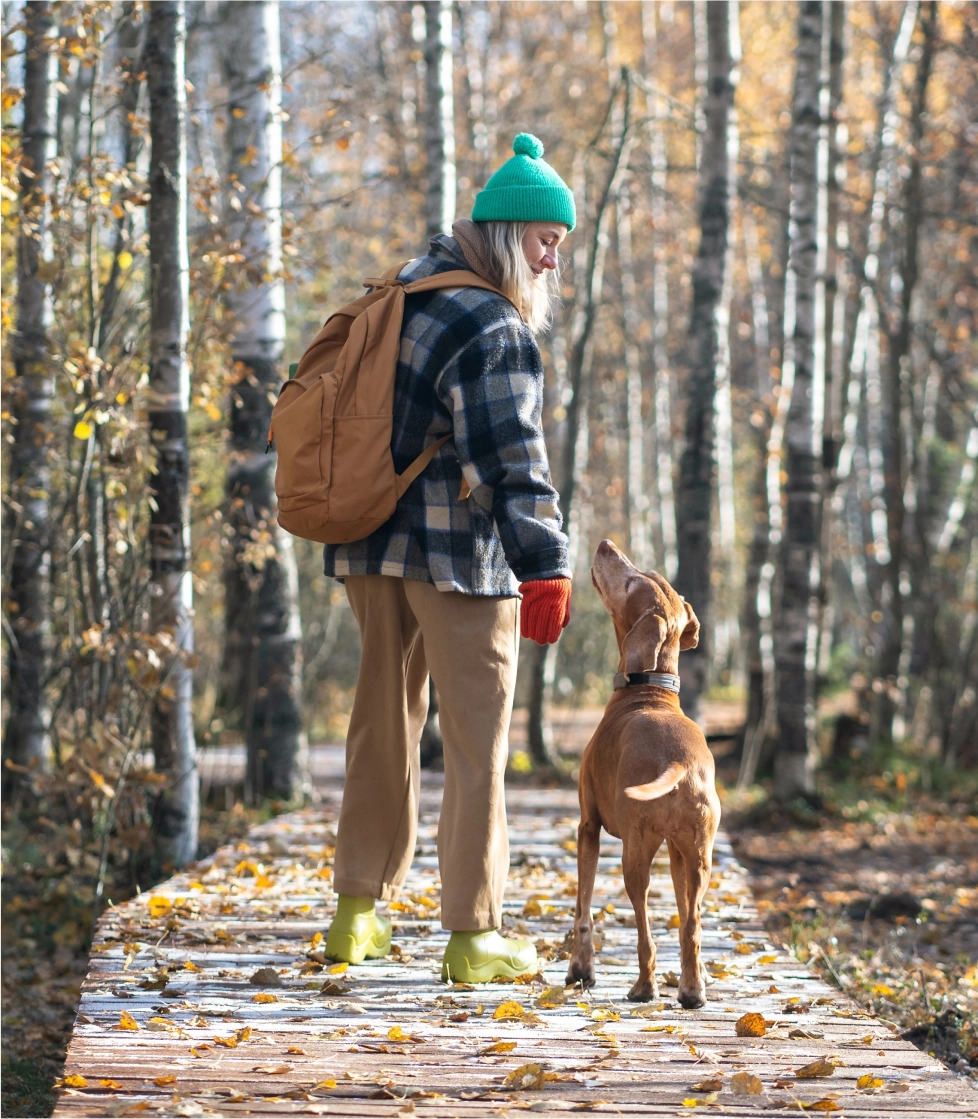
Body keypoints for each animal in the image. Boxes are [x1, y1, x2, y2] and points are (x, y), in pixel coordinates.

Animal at [568, 537, 720, 1011]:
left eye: (633, 582)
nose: (605, 544)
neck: (650, 689)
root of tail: (682, 764)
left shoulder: (588, 826)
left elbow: (582, 907)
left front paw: (581, 969)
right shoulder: (678, 853)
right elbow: (686, 917)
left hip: (634, 853)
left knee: (644, 929)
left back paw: (644, 986)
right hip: (699, 856)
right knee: (692, 925)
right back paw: (692, 990)